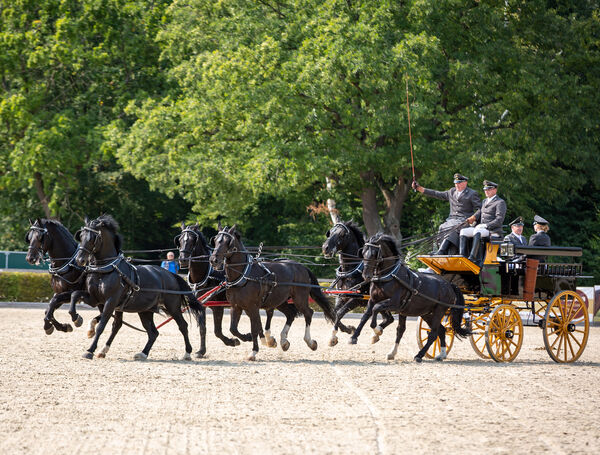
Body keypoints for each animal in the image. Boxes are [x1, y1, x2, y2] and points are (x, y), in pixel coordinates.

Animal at [73, 216, 206, 362]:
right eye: (81, 236)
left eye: (93, 237)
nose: (79, 259)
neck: (106, 269)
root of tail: (171, 275)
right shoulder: (95, 299)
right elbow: (75, 295)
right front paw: (77, 319)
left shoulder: (111, 301)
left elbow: (102, 326)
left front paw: (89, 350)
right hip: (145, 310)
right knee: (153, 332)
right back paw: (143, 353)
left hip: (172, 307)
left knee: (182, 326)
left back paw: (187, 353)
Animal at [209, 226, 336, 362]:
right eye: (215, 240)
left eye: (228, 241)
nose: (213, 260)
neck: (244, 275)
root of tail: (302, 267)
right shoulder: (236, 306)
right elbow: (233, 329)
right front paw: (246, 338)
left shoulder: (252, 307)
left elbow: (254, 329)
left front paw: (254, 351)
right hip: (281, 300)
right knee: (291, 314)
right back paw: (284, 341)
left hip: (299, 298)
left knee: (308, 313)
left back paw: (310, 342)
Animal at [350, 235, 472, 364]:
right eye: (363, 252)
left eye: (374, 254)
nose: (366, 276)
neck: (389, 276)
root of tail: (449, 285)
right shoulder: (373, 299)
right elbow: (367, 316)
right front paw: (354, 337)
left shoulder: (395, 304)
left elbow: (376, 309)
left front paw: (377, 330)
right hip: (427, 314)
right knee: (442, 330)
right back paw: (441, 354)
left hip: (439, 310)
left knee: (433, 334)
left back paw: (419, 355)